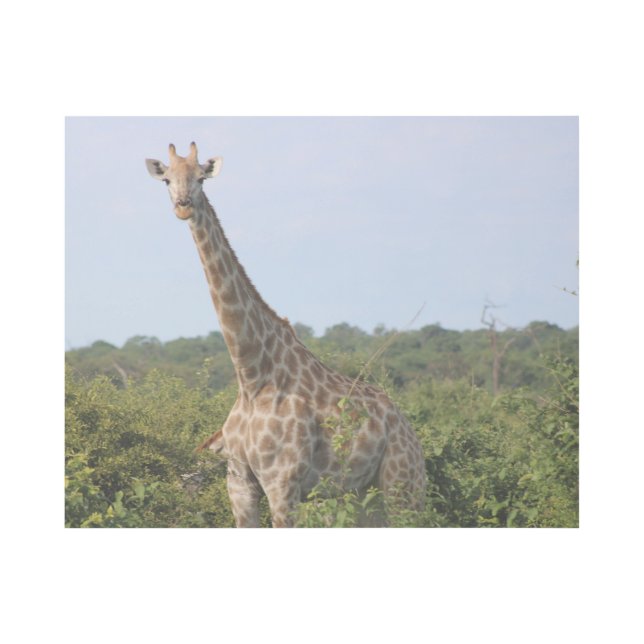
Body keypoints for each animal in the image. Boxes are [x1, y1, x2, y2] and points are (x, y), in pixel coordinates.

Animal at [145, 142, 427, 527]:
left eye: (202, 178)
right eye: (166, 180)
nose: (183, 205)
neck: (251, 376)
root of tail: (408, 427)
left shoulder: (282, 484)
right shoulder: (239, 483)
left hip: (403, 484)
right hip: (363, 495)